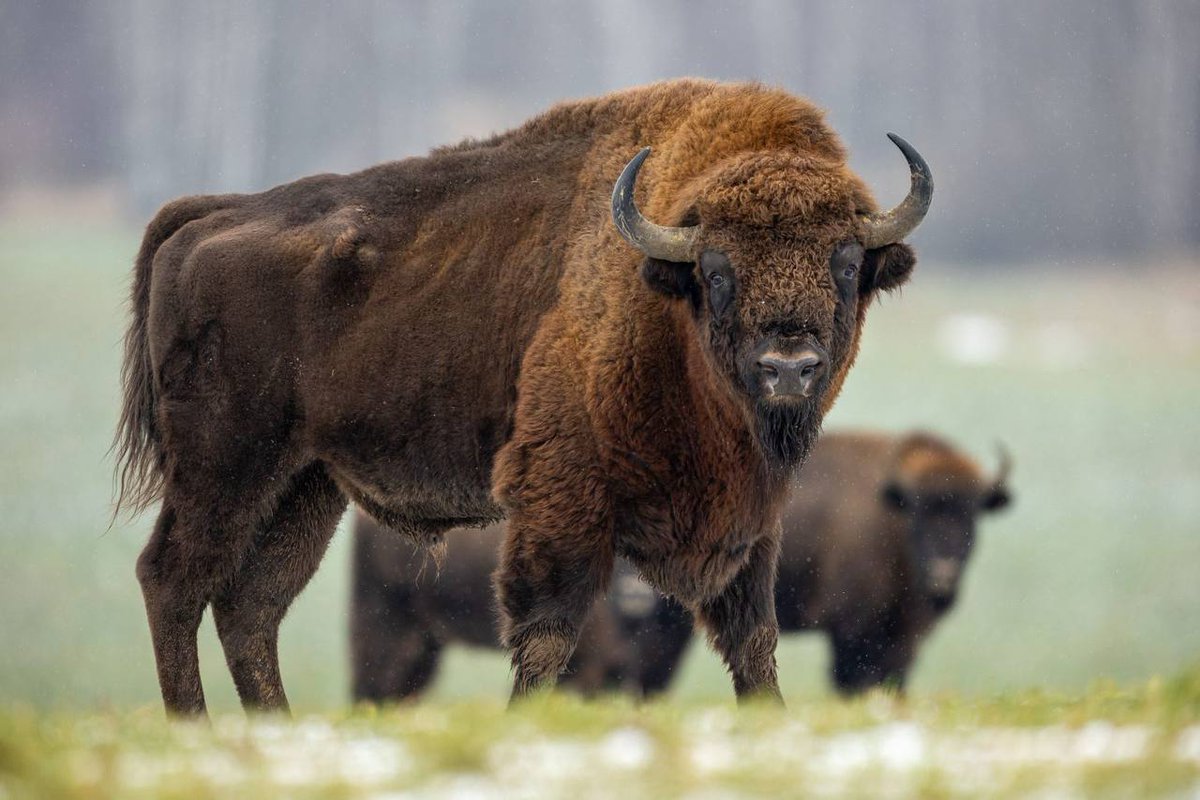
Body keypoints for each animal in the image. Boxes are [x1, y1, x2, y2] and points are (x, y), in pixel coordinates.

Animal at [113, 79, 931, 714]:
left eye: (847, 262)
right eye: (718, 268)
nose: (787, 366)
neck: (663, 298)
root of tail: (211, 214)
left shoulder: (750, 516)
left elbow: (751, 638)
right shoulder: (562, 497)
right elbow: (547, 633)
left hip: (305, 485)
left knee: (251, 607)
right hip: (225, 467)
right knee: (172, 580)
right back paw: (195, 725)